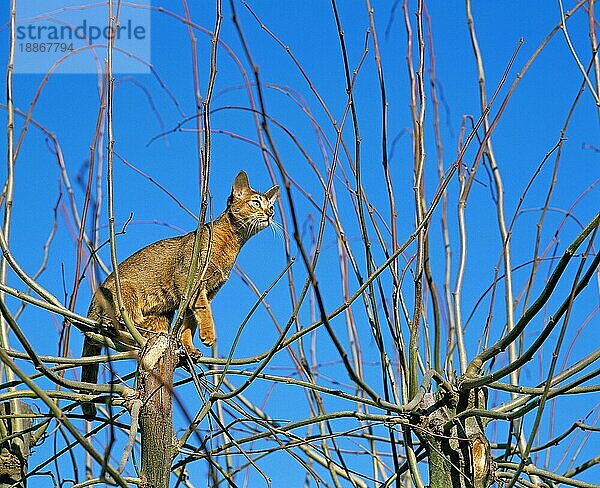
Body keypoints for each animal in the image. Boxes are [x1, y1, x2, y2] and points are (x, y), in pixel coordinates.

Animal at [81, 171, 280, 416]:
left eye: (271, 207)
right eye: (256, 203)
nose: (269, 214)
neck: (232, 244)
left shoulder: (207, 291)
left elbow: (189, 323)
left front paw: (189, 347)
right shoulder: (190, 280)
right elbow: (203, 311)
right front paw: (208, 334)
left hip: (163, 313)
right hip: (125, 292)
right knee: (118, 323)